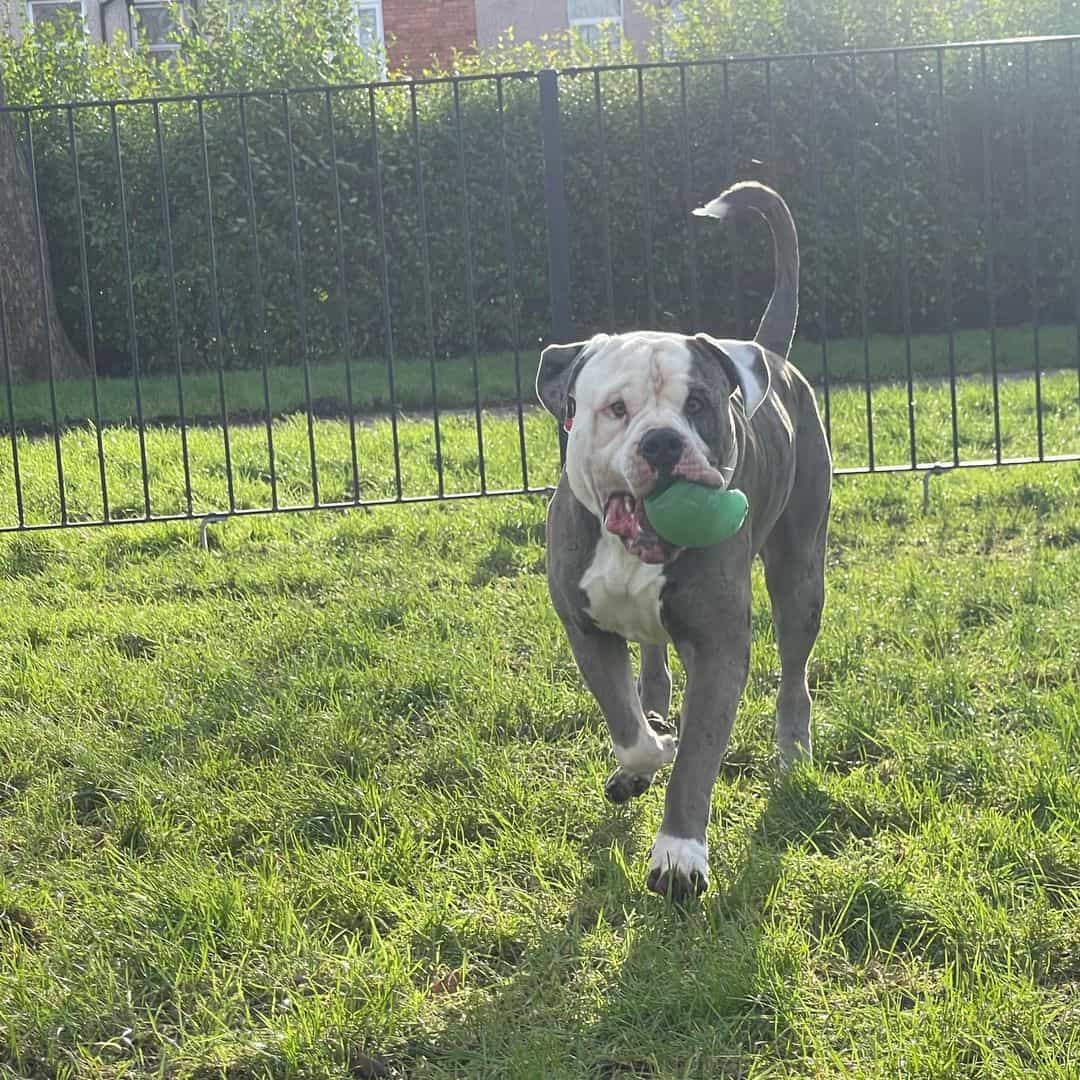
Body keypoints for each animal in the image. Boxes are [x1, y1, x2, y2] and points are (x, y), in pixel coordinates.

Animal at [535, 181, 829, 898]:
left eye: (699, 404)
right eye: (615, 409)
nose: (663, 442)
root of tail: (769, 353)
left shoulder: (720, 643)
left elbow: (698, 754)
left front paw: (679, 854)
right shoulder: (585, 628)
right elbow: (628, 724)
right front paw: (645, 756)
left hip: (799, 573)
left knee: (794, 669)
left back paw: (792, 748)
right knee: (651, 665)